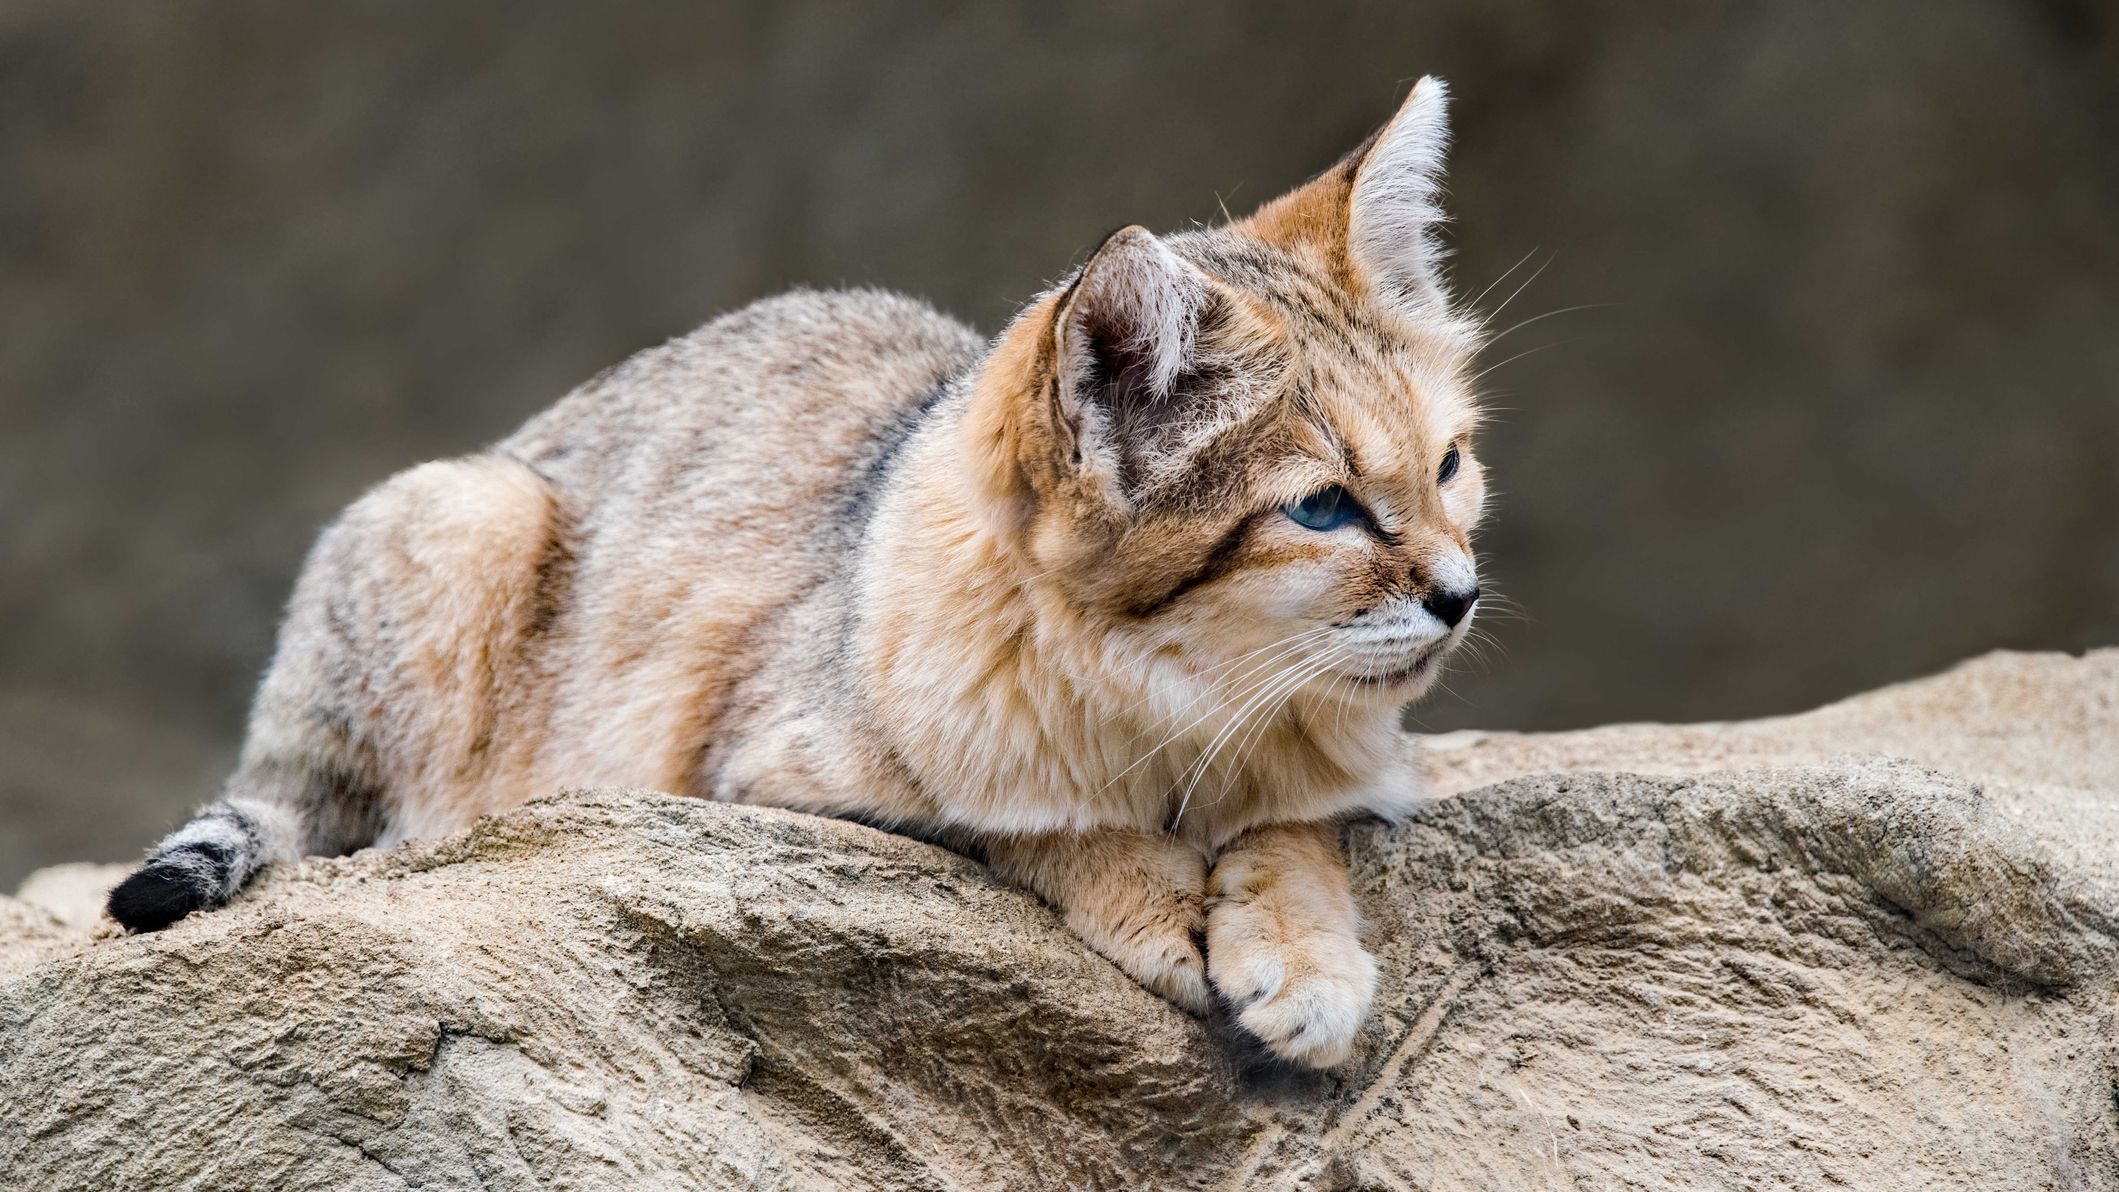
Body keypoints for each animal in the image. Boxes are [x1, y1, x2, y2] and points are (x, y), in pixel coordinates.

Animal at [103, 79, 1491, 1067]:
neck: (1183, 706)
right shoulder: (764, 775)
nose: (1461, 593)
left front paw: (1303, 952)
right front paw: (1148, 896)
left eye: (1449, 464)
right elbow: (1016, 819)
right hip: (462, 520)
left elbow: (1299, 826)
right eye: (1321, 508)